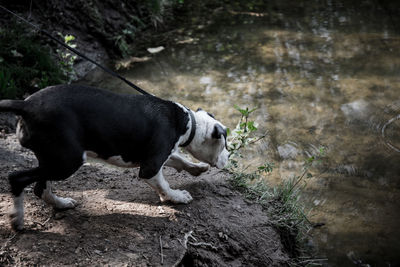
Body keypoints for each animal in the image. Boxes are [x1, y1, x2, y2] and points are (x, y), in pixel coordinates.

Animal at [0, 85, 228, 231]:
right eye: (225, 142)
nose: (228, 156)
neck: (187, 122)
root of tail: (26, 105)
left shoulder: (158, 155)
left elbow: (178, 160)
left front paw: (197, 168)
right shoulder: (150, 165)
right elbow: (164, 184)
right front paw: (177, 197)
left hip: (53, 158)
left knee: (40, 187)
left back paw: (61, 203)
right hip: (67, 160)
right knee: (17, 178)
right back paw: (18, 221)